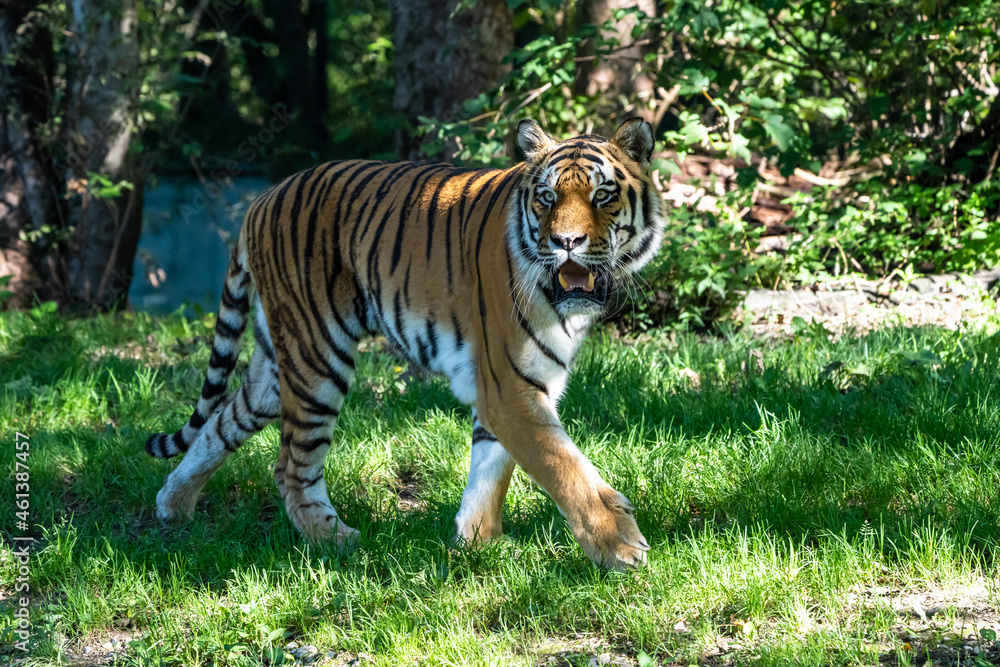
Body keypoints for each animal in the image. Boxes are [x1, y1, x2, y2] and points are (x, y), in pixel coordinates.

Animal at [146, 117, 665, 570]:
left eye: (602, 195)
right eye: (547, 197)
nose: (566, 241)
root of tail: (261, 198)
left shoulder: (513, 384)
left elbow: (491, 467)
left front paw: (478, 544)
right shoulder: (509, 385)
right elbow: (564, 468)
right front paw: (620, 546)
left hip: (278, 365)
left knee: (220, 422)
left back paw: (173, 506)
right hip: (318, 356)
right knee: (291, 465)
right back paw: (335, 541)